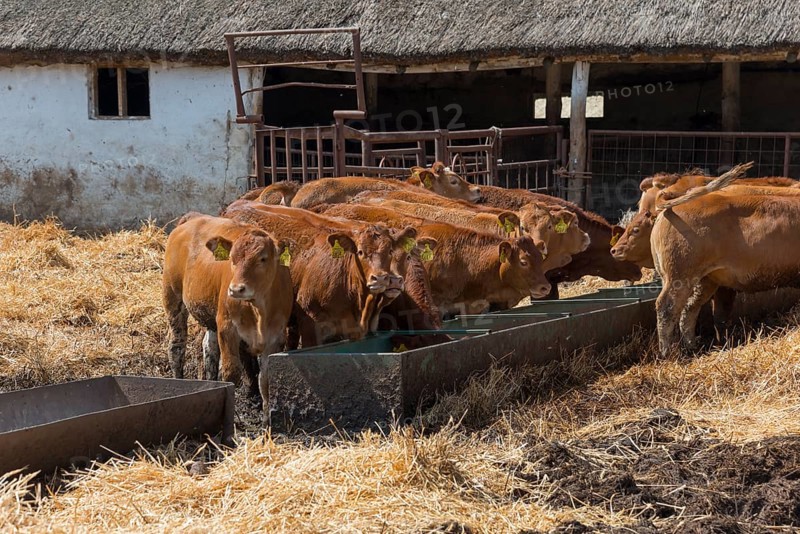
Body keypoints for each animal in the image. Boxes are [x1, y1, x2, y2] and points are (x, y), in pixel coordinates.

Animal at [162, 214, 293, 412]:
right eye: (232, 258)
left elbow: (266, 383)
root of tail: (194, 218)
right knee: (176, 347)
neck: (259, 310)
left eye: (263, 258)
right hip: (173, 298)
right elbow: (231, 373)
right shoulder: (227, 328)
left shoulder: (276, 337)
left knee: (209, 348)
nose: (236, 289)